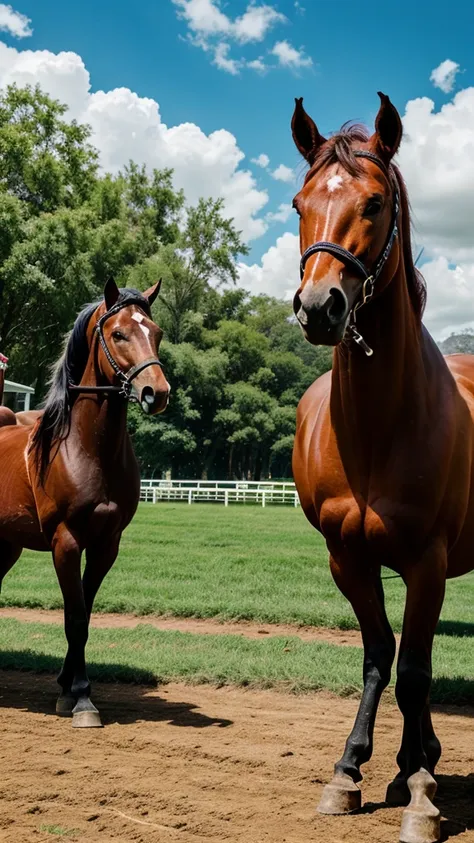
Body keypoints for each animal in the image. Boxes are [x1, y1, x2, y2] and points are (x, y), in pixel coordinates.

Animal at [0, 280, 169, 728]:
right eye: (119, 333)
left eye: (156, 332)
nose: (157, 392)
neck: (86, 449)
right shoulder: (66, 542)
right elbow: (75, 617)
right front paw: (80, 698)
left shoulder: (106, 544)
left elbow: (85, 614)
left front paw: (66, 687)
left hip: (6, 546)